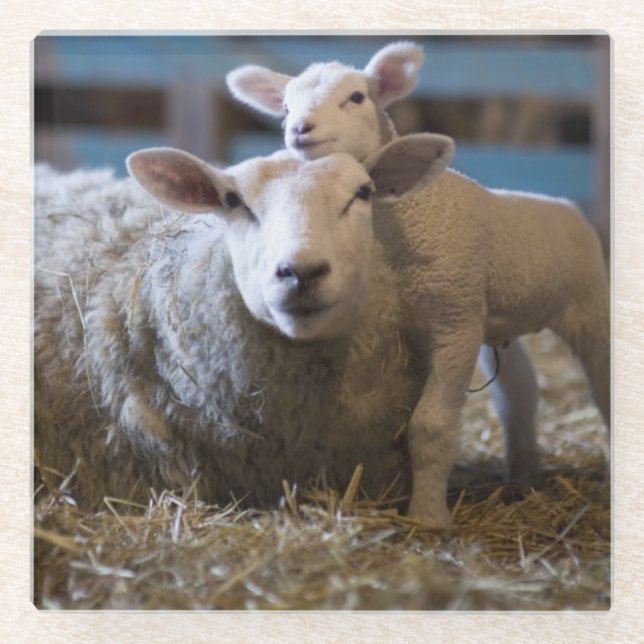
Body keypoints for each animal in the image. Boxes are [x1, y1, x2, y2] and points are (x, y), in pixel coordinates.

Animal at [227, 43, 610, 527]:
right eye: (284, 105)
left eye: (356, 97)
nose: (299, 129)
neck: (406, 215)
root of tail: (566, 206)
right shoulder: (418, 324)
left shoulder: (454, 325)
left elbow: (430, 426)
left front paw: (427, 517)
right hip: (496, 319)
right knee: (520, 391)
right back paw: (522, 478)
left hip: (588, 302)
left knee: (603, 378)